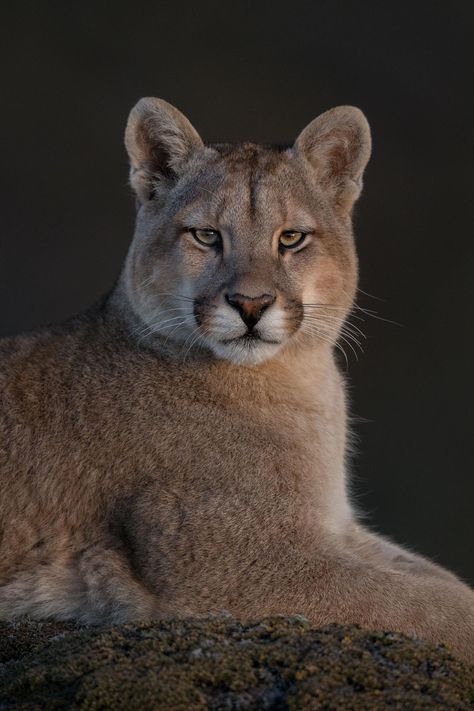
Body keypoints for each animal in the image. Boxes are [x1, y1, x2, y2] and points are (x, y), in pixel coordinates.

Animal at [0, 98, 474, 660]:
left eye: (291, 238)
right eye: (207, 235)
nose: (251, 304)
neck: (298, 379)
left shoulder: (333, 525)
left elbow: (439, 580)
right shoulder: (240, 562)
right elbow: (428, 605)